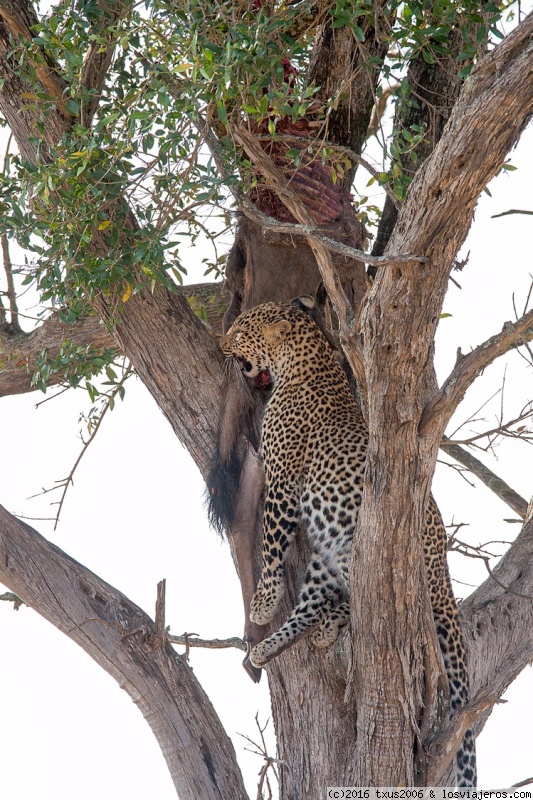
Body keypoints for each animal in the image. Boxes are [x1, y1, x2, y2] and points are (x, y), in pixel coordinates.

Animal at [218, 296, 476, 788]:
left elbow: (271, 544)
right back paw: (272, 645)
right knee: (314, 605)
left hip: (367, 550)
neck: (306, 361)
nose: (220, 344)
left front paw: (262, 601)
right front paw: (265, 611)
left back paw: (301, 627)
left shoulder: (282, 483)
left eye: (241, 330)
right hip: (328, 556)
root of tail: (442, 568)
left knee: (358, 601)